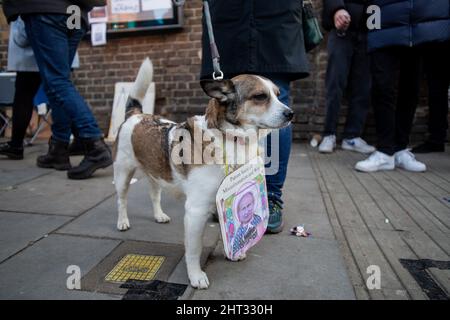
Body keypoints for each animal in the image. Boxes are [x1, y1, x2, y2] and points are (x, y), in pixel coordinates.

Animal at [114, 58, 294, 288]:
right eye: (260, 96)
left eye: (278, 95)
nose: (291, 113)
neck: (230, 138)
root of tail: (136, 115)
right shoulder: (195, 211)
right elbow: (193, 249)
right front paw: (195, 275)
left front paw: (233, 251)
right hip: (123, 174)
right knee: (121, 200)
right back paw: (122, 221)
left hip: (156, 172)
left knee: (154, 194)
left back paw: (159, 215)